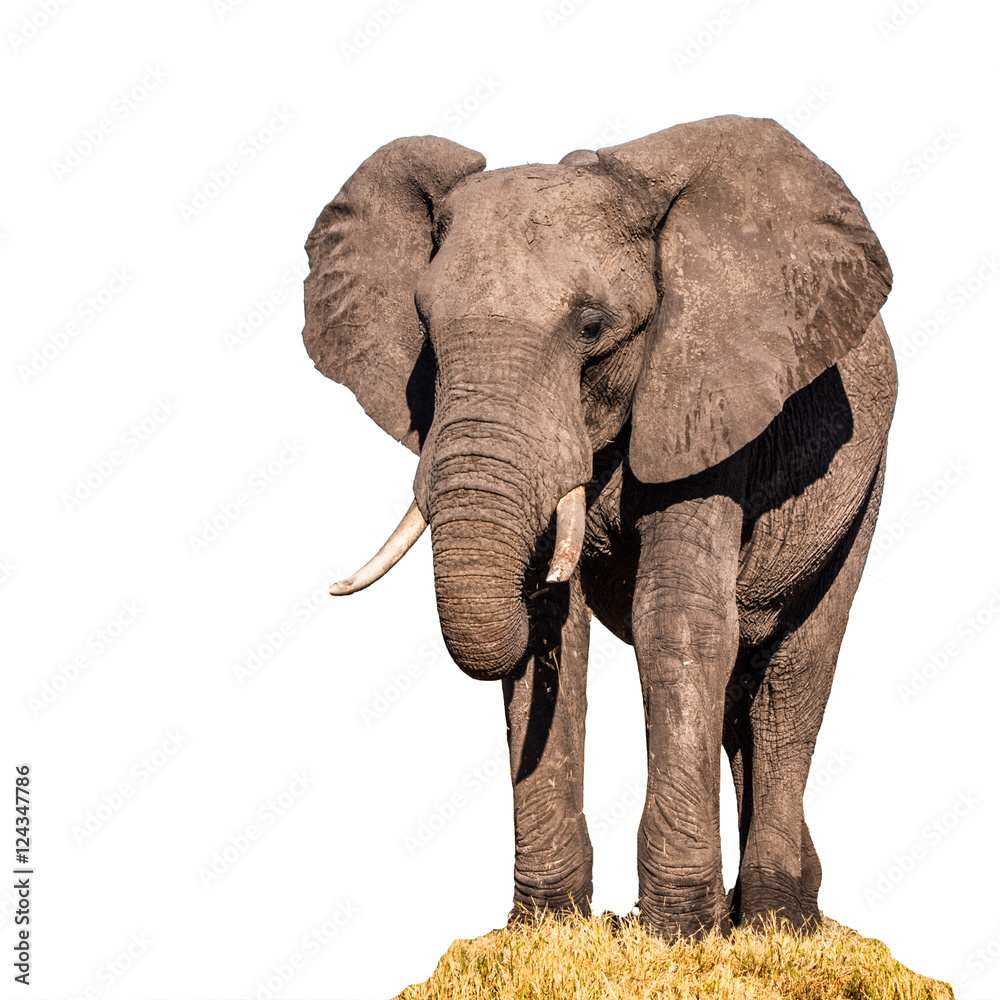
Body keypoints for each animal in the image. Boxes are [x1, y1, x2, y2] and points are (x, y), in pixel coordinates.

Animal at [301, 115, 895, 937]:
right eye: (424, 325)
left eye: (591, 327)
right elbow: (557, 632)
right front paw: (547, 929)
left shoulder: (706, 391)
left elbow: (678, 620)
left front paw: (679, 936)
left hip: (864, 477)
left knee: (794, 675)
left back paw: (777, 923)